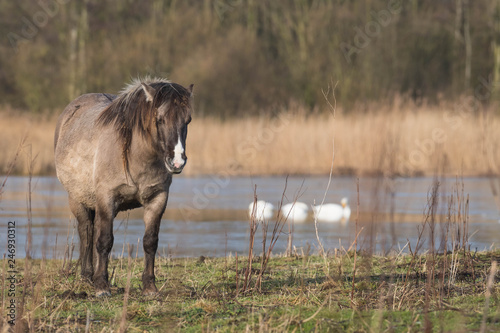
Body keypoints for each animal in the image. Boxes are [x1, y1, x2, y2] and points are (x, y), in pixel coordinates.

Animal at [54, 78, 193, 296]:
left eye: (188, 120)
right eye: (160, 119)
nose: (177, 162)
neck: (135, 155)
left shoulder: (158, 199)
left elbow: (150, 241)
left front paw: (149, 287)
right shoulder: (107, 198)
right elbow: (104, 241)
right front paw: (102, 286)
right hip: (77, 199)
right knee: (86, 232)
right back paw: (87, 276)